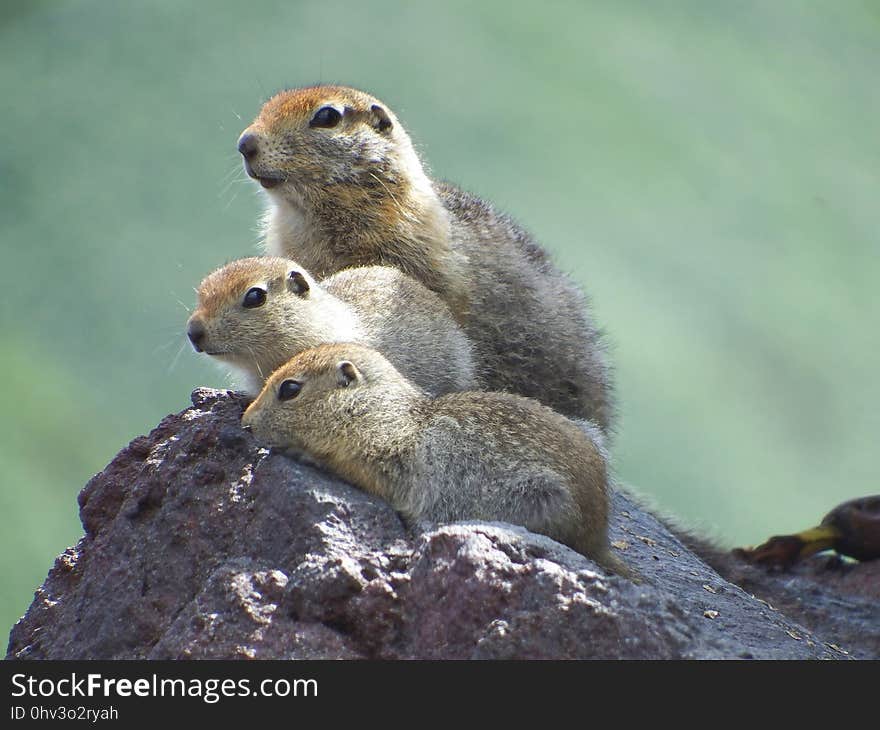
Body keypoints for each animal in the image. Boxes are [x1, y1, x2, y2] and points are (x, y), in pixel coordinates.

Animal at [241, 342, 632, 580]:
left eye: (290, 389)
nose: (246, 421)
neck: (377, 409)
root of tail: (599, 536)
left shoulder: (385, 455)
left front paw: (302, 452)